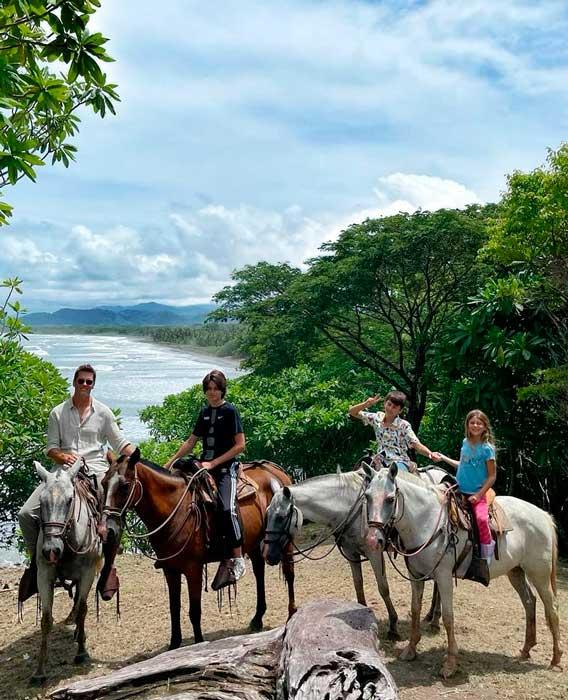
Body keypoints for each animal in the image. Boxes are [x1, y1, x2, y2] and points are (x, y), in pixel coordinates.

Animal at [31, 460, 103, 684]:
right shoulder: (44, 576)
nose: (51, 550)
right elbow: (46, 620)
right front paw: (39, 671)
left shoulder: (87, 574)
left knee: (81, 605)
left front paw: (81, 653)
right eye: (42, 501)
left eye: (70, 500)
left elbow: (82, 609)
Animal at [100, 448, 296, 644]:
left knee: (289, 574)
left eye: (125, 485)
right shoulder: (170, 570)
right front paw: (174, 644)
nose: (106, 529)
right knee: (259, 572)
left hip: (285, 542)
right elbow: (174, 608)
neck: (175, 508)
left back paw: (291, 615)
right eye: (103, 483)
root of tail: (277, 471)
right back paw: (257, 618)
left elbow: (194, 611)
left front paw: (199, 641)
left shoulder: (193, 569)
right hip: (254, 544)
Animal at [266, 470, 448, 640]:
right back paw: (431, 616)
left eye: (281, 517)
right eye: (267, 514)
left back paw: (435, 620)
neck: (348, 505)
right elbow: (358, 585)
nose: (269, 557)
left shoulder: (374, 553)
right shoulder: (351, 553)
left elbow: (383, 588)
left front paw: (393, 626)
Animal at [362, 464, 560, 680]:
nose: (372, 540)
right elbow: (415, 610)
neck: (427, 521)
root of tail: (543, 515)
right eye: (367, 496)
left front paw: (450, 664)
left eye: (390, 499)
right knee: (529, 602)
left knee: (551, 608)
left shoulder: (443, 577)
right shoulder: (416, 576)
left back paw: (556, 658)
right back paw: (526, 649)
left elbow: (448, 617)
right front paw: (410, 650)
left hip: (539, 574)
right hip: (515, 572)